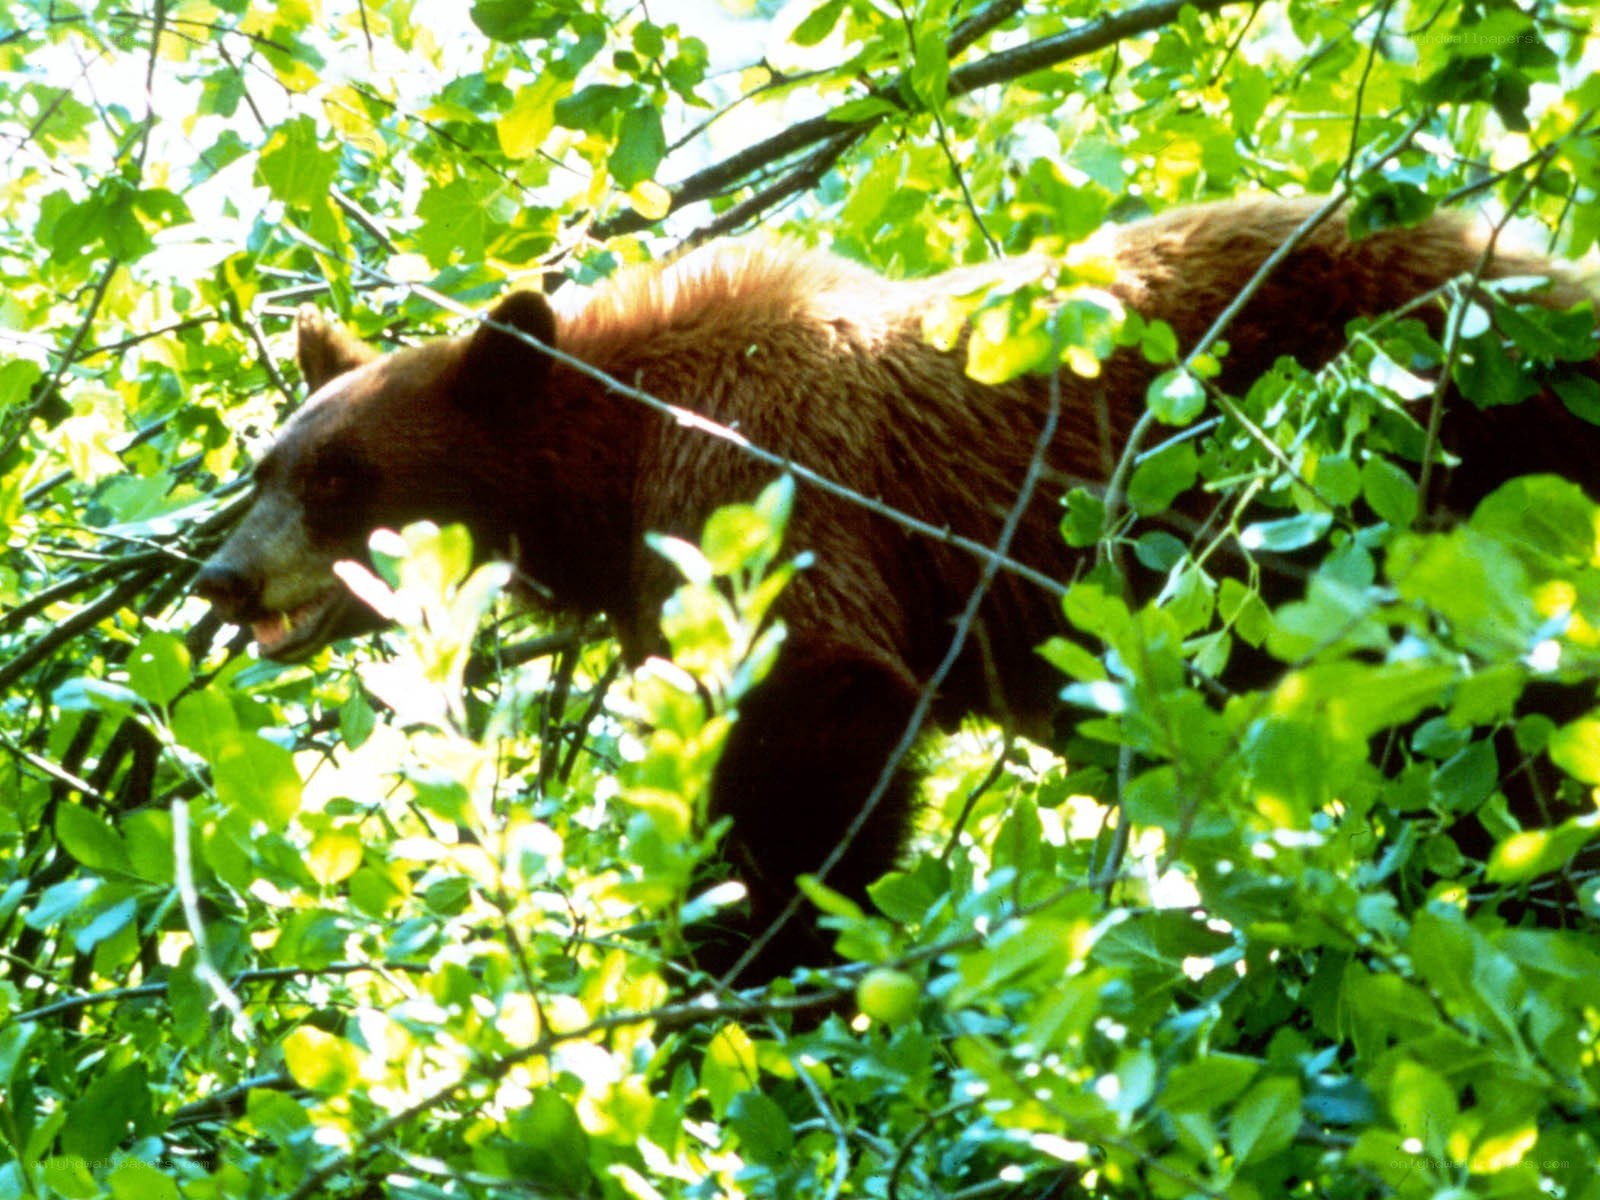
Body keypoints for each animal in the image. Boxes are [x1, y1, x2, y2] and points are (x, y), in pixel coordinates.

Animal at [195, 195, 1597, 980]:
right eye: (261, 467)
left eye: (338, 480)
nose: (220, 574)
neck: (609, 451)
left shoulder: (758, 473)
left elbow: (815, 705)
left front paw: (736, 971)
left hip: (1448, 447)